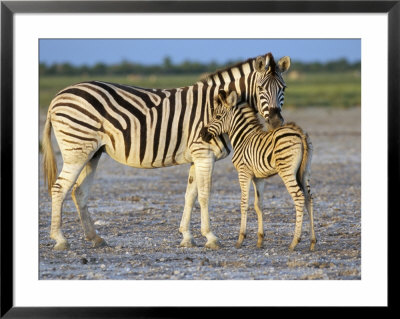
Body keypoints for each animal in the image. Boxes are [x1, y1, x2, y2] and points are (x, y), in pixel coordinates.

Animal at [42, 52, 290, 251]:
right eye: (260, 88)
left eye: (283, 88)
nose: (276, 122)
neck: (216, 107)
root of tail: (56, 98)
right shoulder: (204, 154)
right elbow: (205, 195)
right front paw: (210, 237)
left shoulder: (196, 157)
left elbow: (190, 195)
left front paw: (187, 237)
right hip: (77, 151)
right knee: (59, 189)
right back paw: (60, 239)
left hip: (92, 153)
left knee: (79, 191)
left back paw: (95, 238)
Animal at [200, 91, 316, 251]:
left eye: (217, 116)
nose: (202, 134)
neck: (243, 138)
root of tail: (300, 133)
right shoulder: (258, 177)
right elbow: (258, 205)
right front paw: (260, 239)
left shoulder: (243, 173)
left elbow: (243, 203)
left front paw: (241, 238)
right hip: (305, 172)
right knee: (308, 198)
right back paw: (312, 241)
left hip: (287, 171)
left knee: (299, 197)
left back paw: (294, 241)